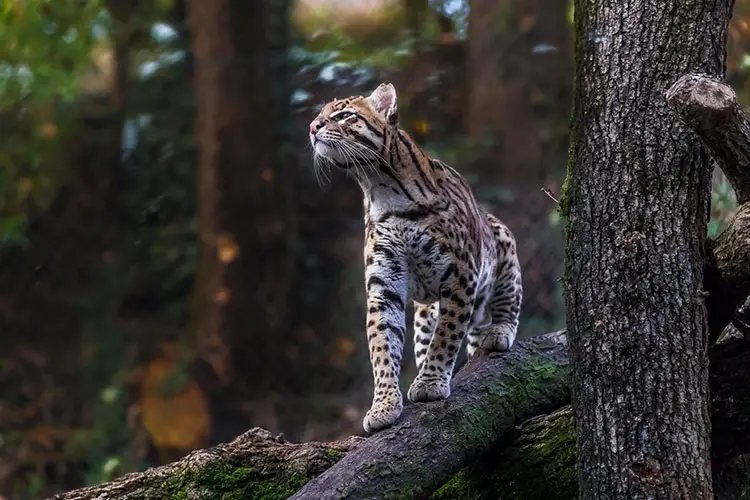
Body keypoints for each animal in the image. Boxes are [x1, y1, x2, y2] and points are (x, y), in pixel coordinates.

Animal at [310, 84, 524, 432]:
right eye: (320, 115)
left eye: (344, 116)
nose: (312, 128)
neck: (379, 188)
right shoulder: (384, 284)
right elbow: (382, 344)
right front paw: (384, 404)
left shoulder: (460, 273)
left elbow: (447, 334)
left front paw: (431, 383)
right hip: (426, 309)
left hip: (501, 240)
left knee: (506, 302)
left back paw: (498, 332)